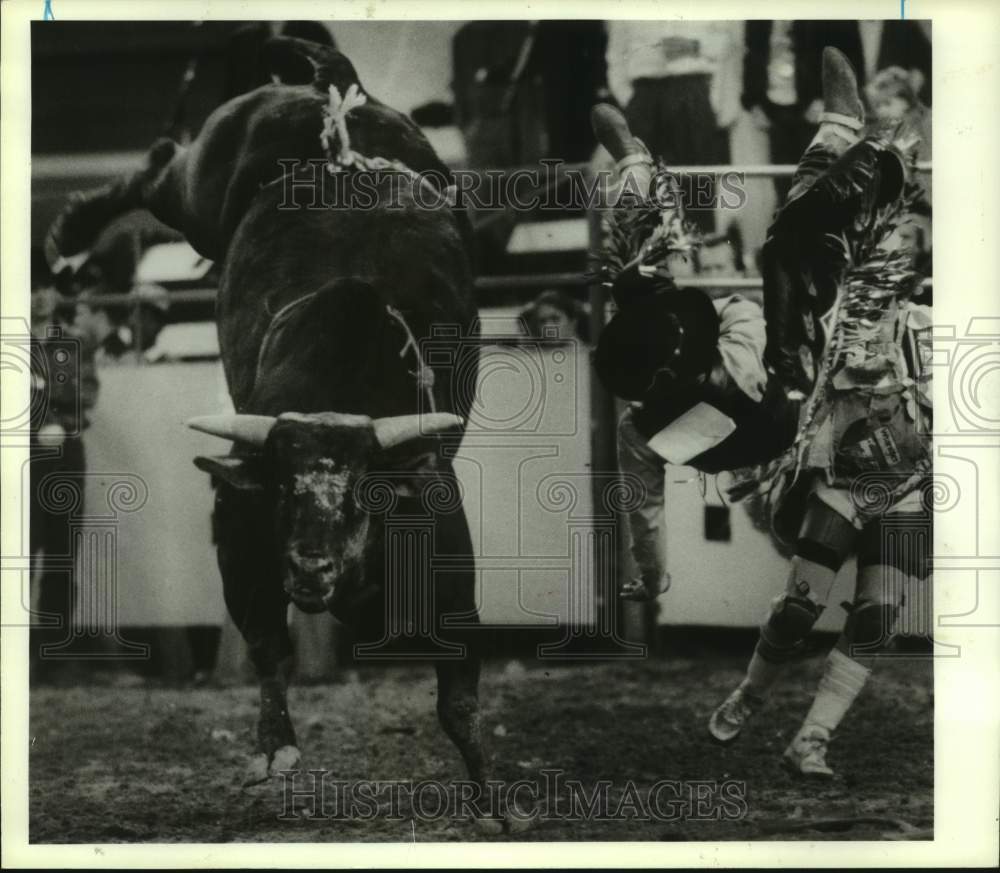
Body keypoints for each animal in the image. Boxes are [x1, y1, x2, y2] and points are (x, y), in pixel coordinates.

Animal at [45, 37, 516, 828]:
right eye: (285, 494)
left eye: (364, 497)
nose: (312, 567)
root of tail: (333, 88)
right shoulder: (238, 529)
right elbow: (268, 643)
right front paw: (275, 745)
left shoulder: (445, 551)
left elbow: (459, 697)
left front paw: (491, 795)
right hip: (202, 190)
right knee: (157, 167)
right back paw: (68, 233)